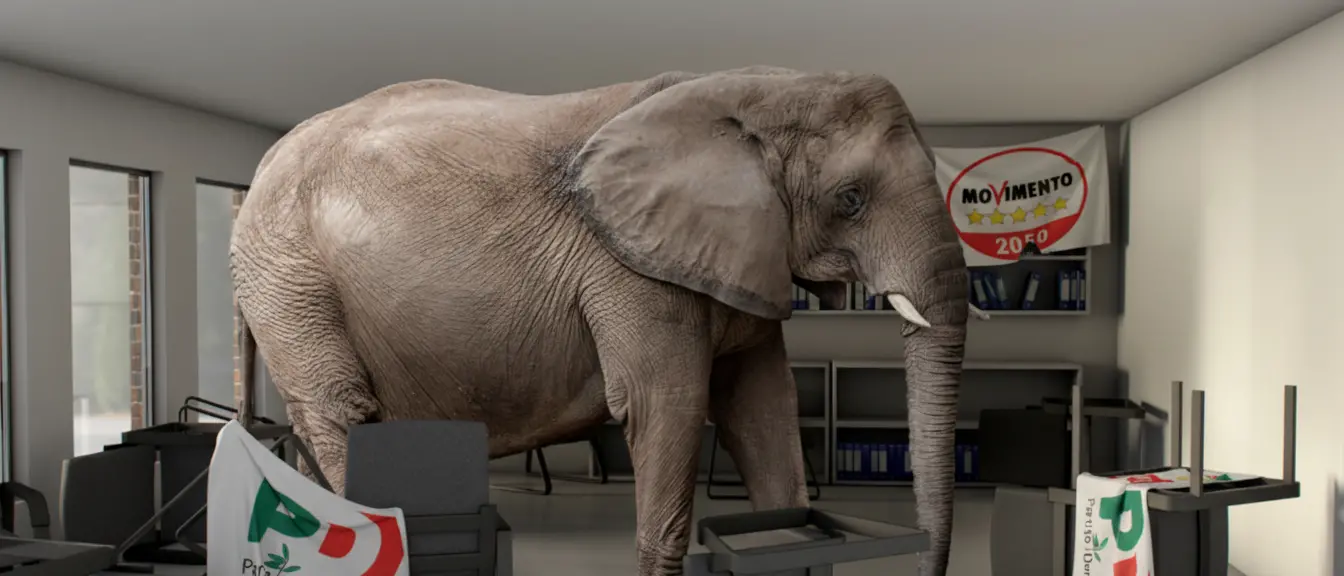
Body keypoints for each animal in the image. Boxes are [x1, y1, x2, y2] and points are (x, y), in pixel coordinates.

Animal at [230, 66, 979, 576]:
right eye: (851, 199)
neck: (757, 91)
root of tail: (260, 166)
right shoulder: (626, 267)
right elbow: (667, 405)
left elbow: (763, 408)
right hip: (292, 282)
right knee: (341, 413)